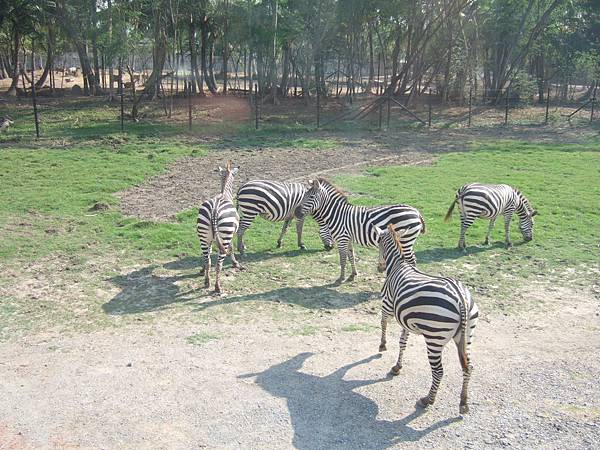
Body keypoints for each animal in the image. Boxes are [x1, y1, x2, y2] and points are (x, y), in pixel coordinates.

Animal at [198, 160, 243, 294]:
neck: (224, 194)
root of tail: (214, 210)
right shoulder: (232, 232)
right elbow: (232, 248)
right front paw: (235, 263)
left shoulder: (211, 239)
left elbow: (207, 255)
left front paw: (202, 270)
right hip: (225, 236)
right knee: (219, 265)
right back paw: (217, 287)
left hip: (203, 236)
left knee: (208, 261)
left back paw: (207, 282)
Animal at [292, 177, 424, 284]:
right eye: (304, 196)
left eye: (311, 196)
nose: (296, 212)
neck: (337, 214)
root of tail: (416, 212)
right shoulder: (348, 238)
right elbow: (351, 256)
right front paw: (352, 275)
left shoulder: (342, 239)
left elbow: (342, 259)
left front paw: (341, 278)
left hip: (405, 240)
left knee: (412, 259)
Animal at [378, 225, 480, 414]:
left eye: (379, 244)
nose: (379, 268)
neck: (397, 265)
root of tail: (460, 298)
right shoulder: (405, 319)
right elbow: (402, 342)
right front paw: (397, 367)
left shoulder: (387, 305)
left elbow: (383, 323)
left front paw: (382, 345)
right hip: (467, 335)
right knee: (468, 366)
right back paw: (463, 402)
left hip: (435, 337)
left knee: (439, 371)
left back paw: (428, 400)